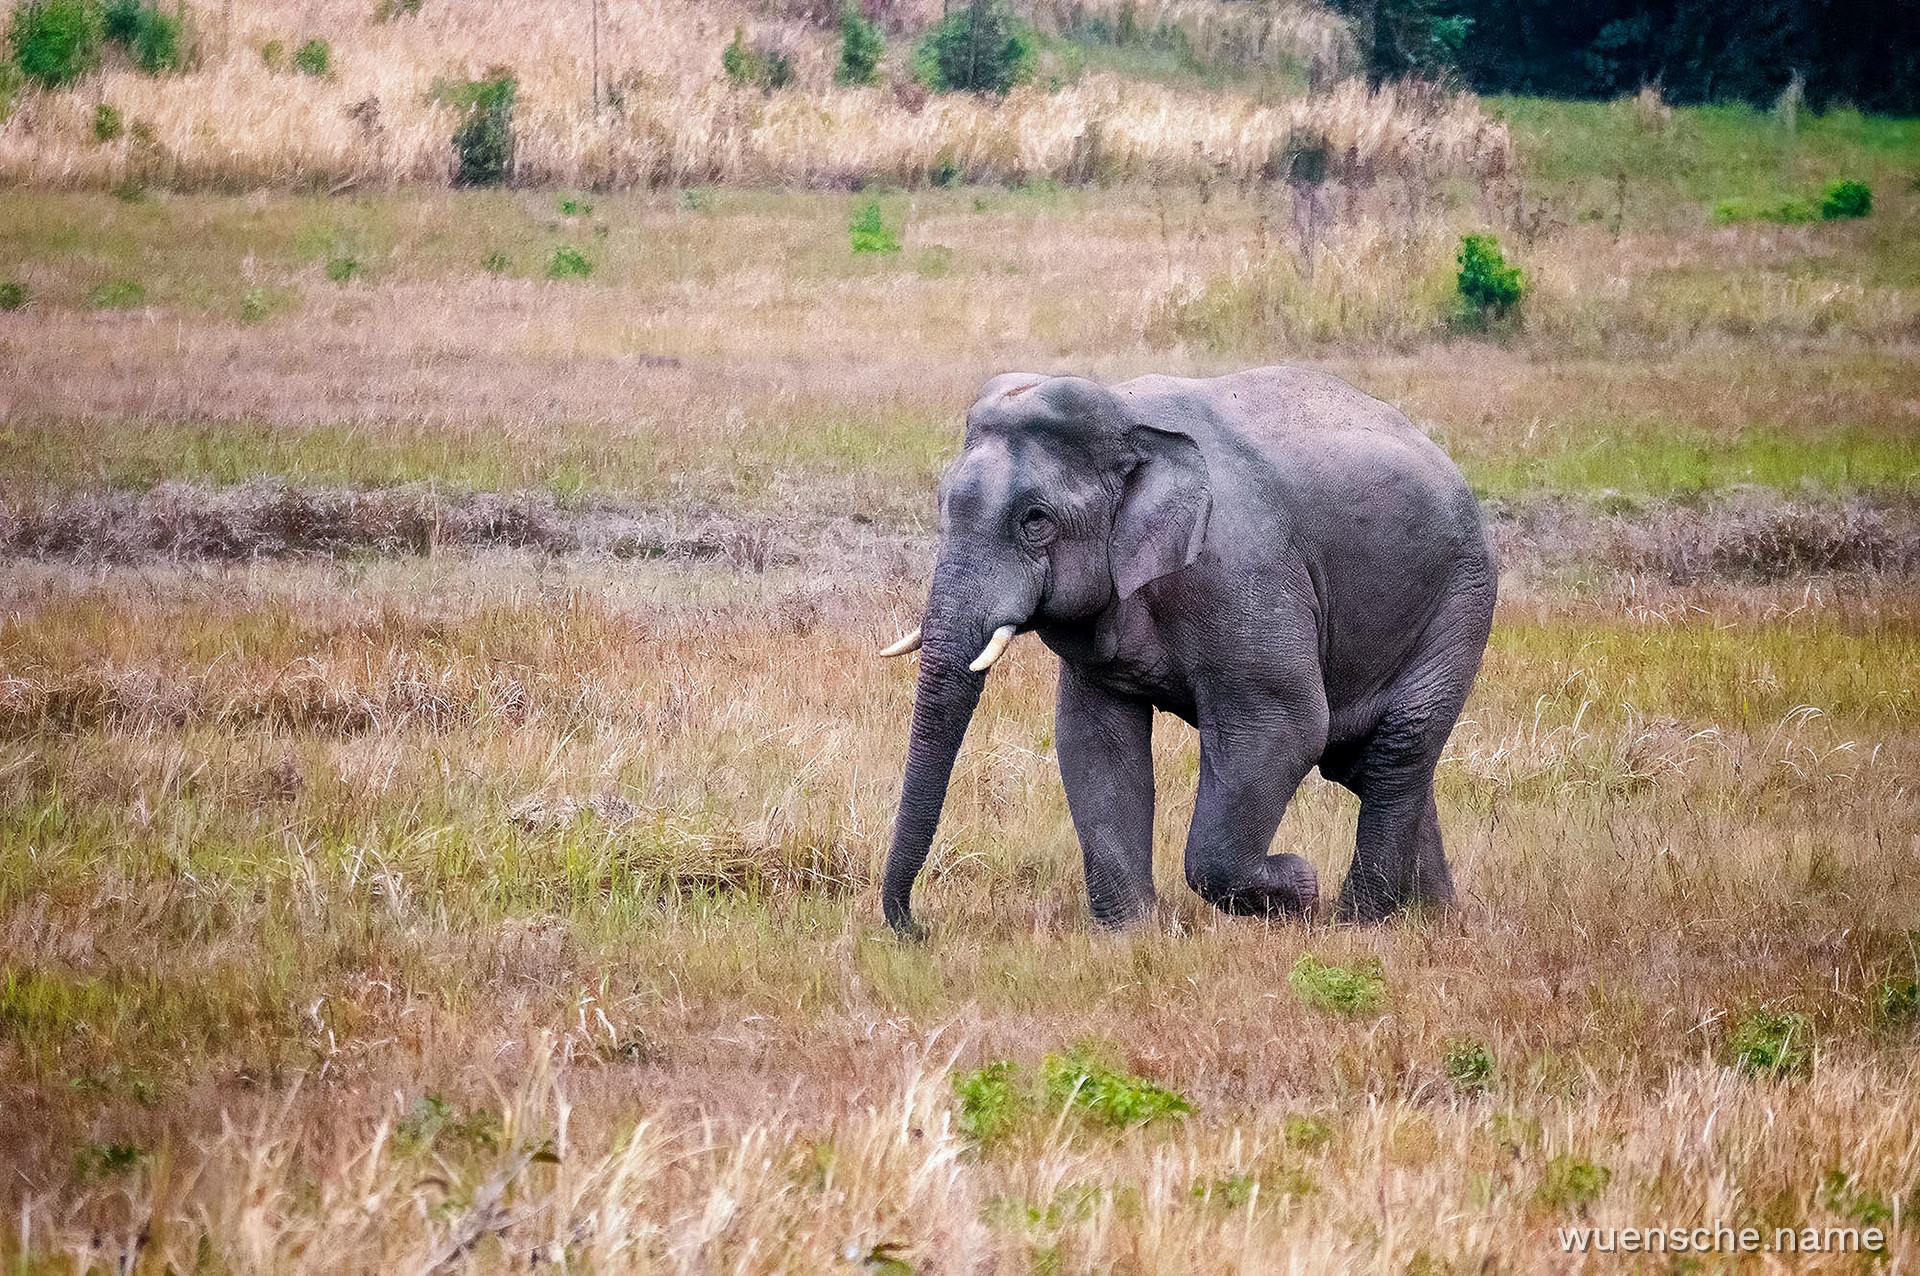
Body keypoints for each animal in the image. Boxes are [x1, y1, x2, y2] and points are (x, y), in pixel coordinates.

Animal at [877, 366, 1496, 934]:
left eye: (1036, 522)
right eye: (942, 505)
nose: (919, 928)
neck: (1128, 420)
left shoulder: (1244, 577)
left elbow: (1285, 726)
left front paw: (1300, 889)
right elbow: (1094, 739)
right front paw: (1132, 938)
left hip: (1460, 600)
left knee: (1399, 746)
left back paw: (1361, 925)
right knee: (1364, 761)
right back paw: (1434, 919)